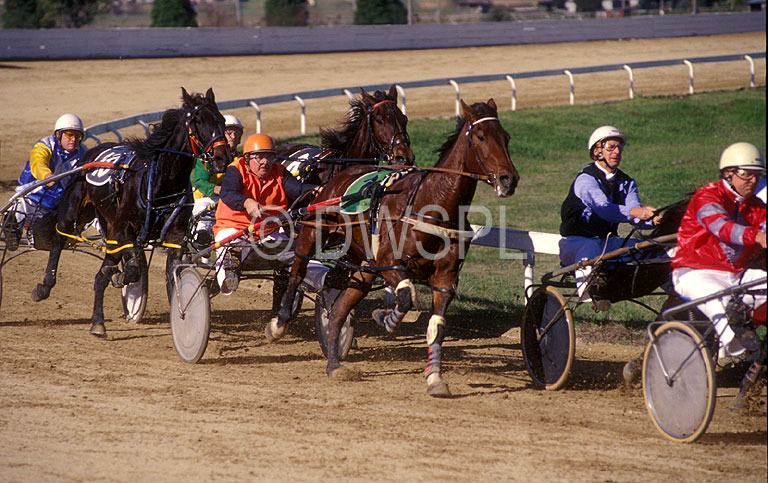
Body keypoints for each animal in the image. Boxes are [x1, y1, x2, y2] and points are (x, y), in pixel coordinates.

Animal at [33, 87, 231, 338]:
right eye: (197, 121)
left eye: (221, 120)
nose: (223, 157)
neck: (161, 184)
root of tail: (92, 152)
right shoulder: (125, 232)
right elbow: (134, 270)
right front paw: (123, 279)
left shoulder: (174, 238)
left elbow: (173, 277)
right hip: (75, 211)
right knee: (59, 240)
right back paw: (44, 286)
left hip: (109, 231)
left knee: (100, 276)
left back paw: (98, 322)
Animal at [266, 97, 520, 398]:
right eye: (480, 136)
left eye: (505, 137)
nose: (508, 179)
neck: (433, 204)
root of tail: (340, 178)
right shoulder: (388, 262)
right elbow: (406, 296)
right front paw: (386, 319)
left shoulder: (444, 279)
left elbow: (436, 326)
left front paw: (435, 378)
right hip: (313, 232)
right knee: (296, 271)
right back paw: (279, 323)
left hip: (361, 263)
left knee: (338, 306)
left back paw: (334, 364)